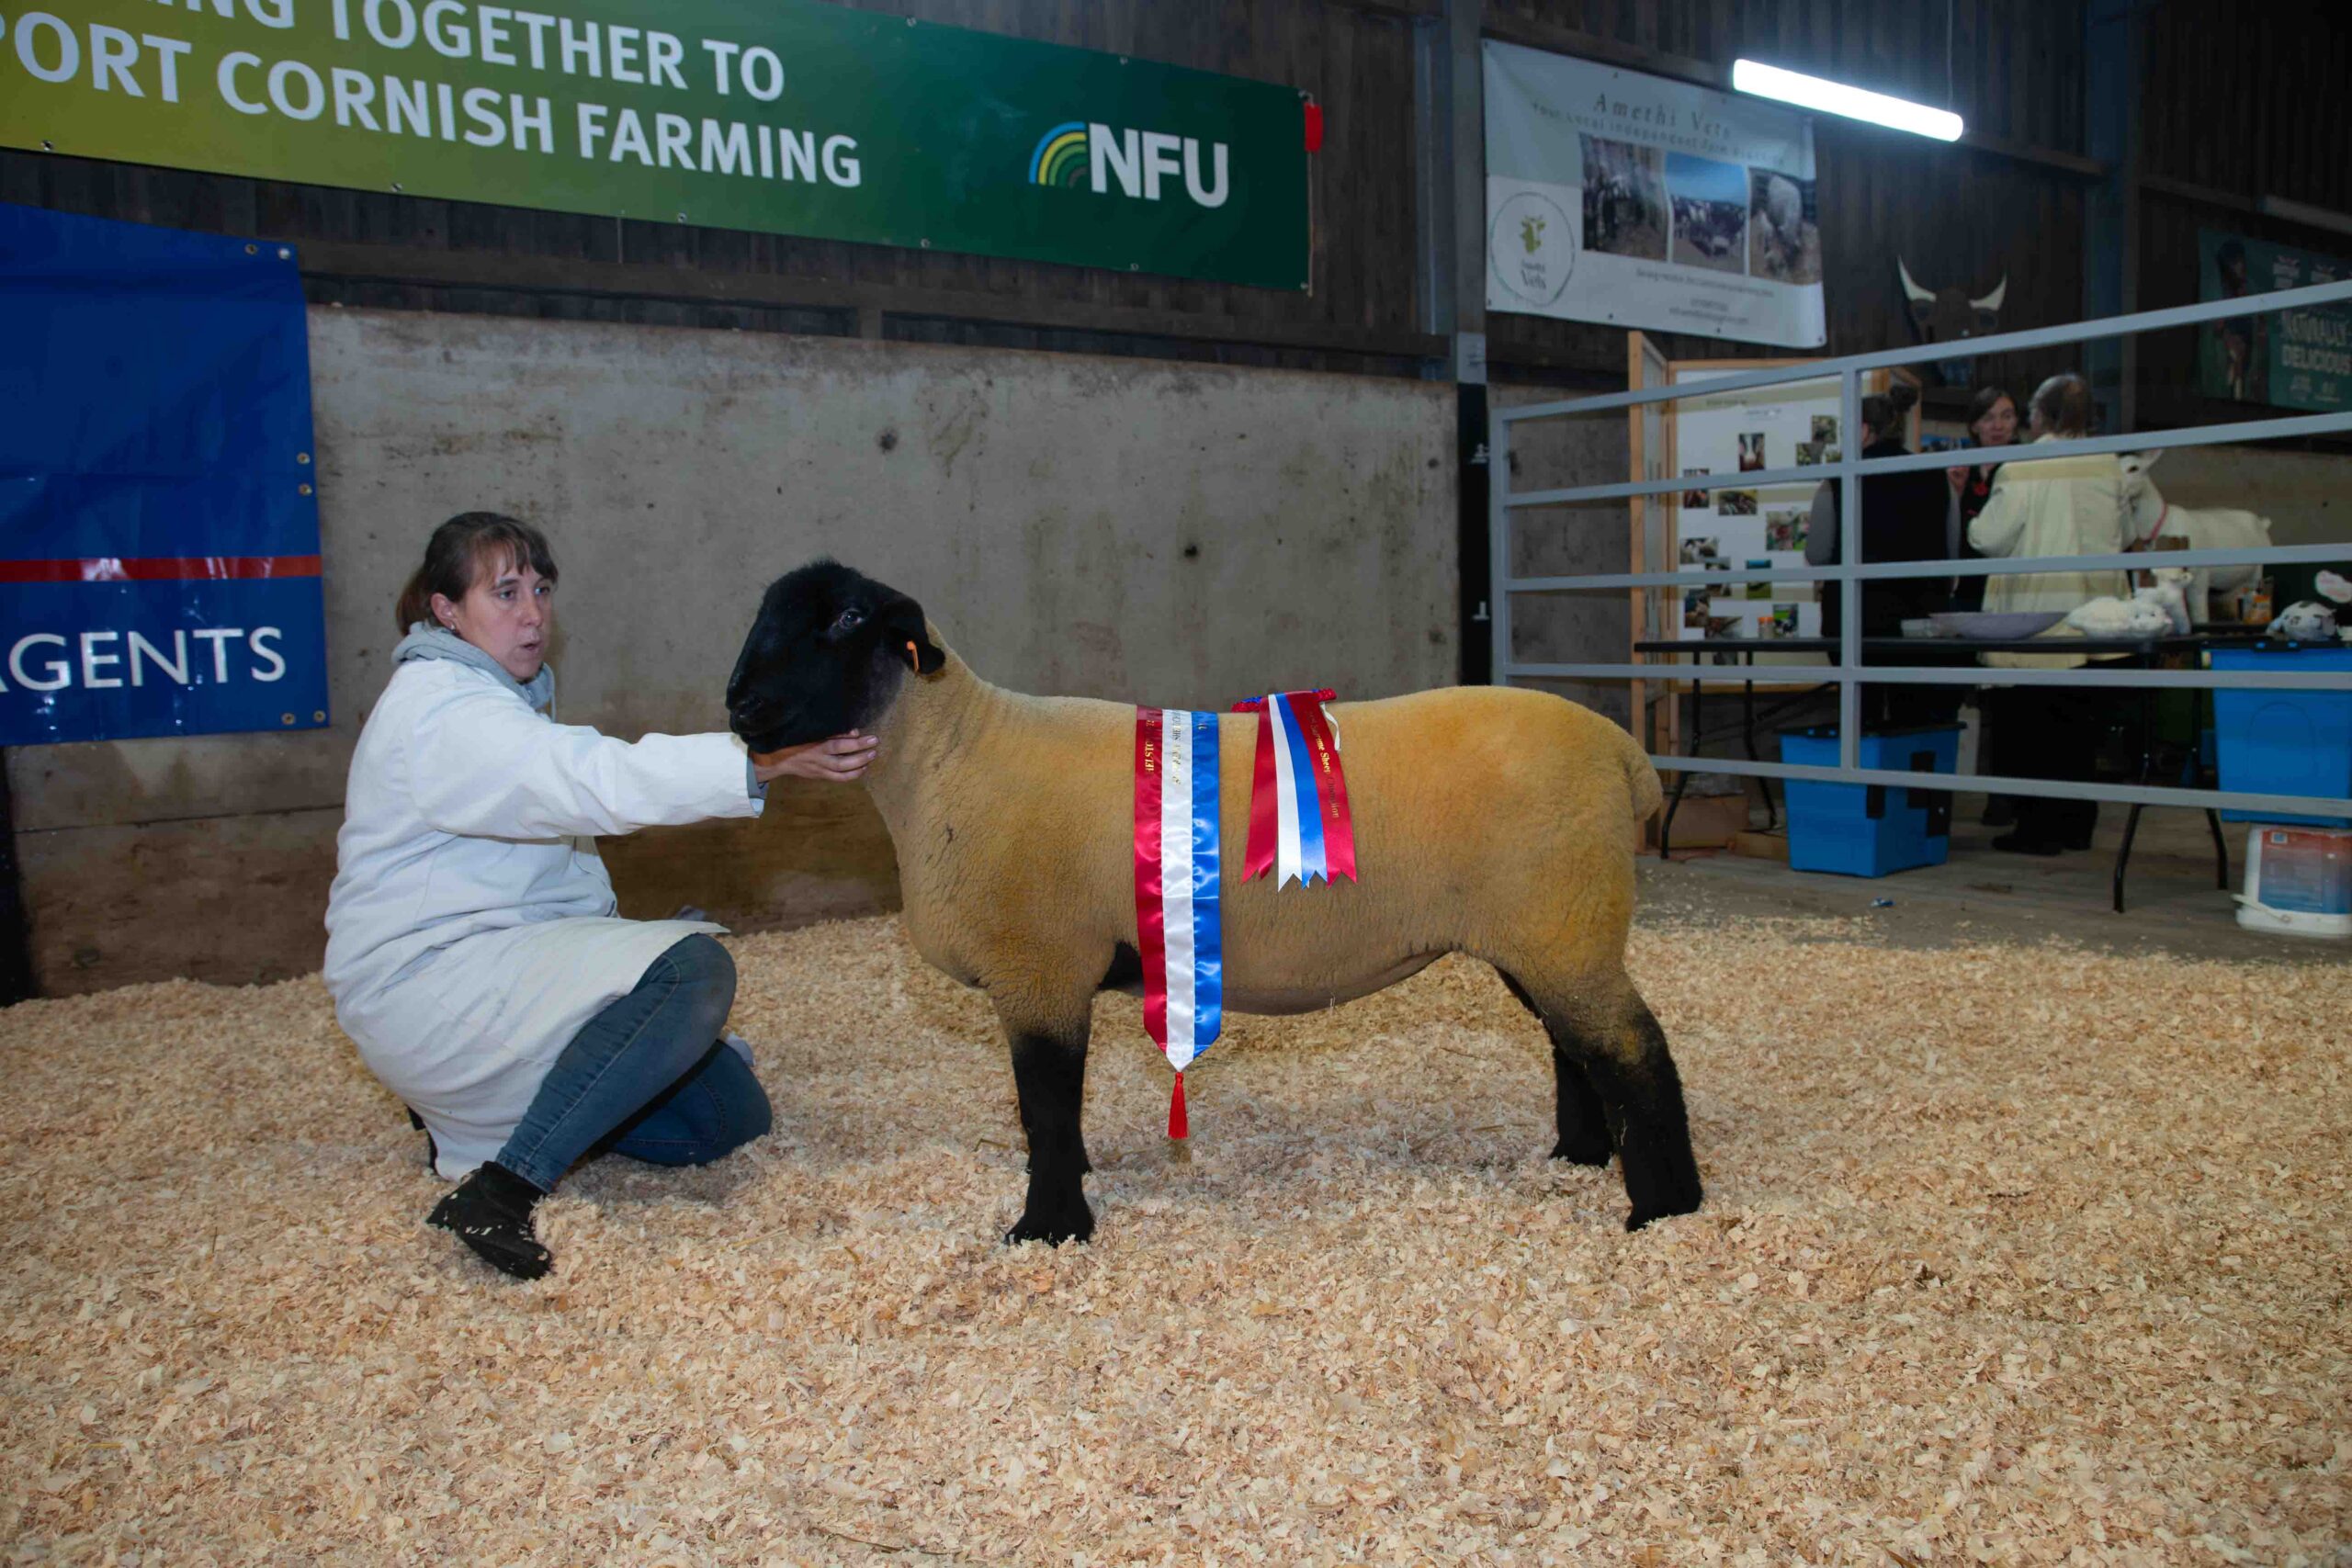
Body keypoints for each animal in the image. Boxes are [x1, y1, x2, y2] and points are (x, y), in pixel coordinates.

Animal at [725, 561, 1703, 1244]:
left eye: (847, 619)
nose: (740, 705)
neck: (950, 758)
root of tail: (1624, 753)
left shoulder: (1040, 967)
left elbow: (1045, 1103)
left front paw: (1048, 1228)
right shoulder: (1049, 974)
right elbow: (1054, 1108)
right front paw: (1070, 1191)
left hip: (1564, 922)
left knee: (1634, 1053)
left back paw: (1664, 1210)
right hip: (1546, 932)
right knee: (1574, 1046)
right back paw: (1578, 1157)